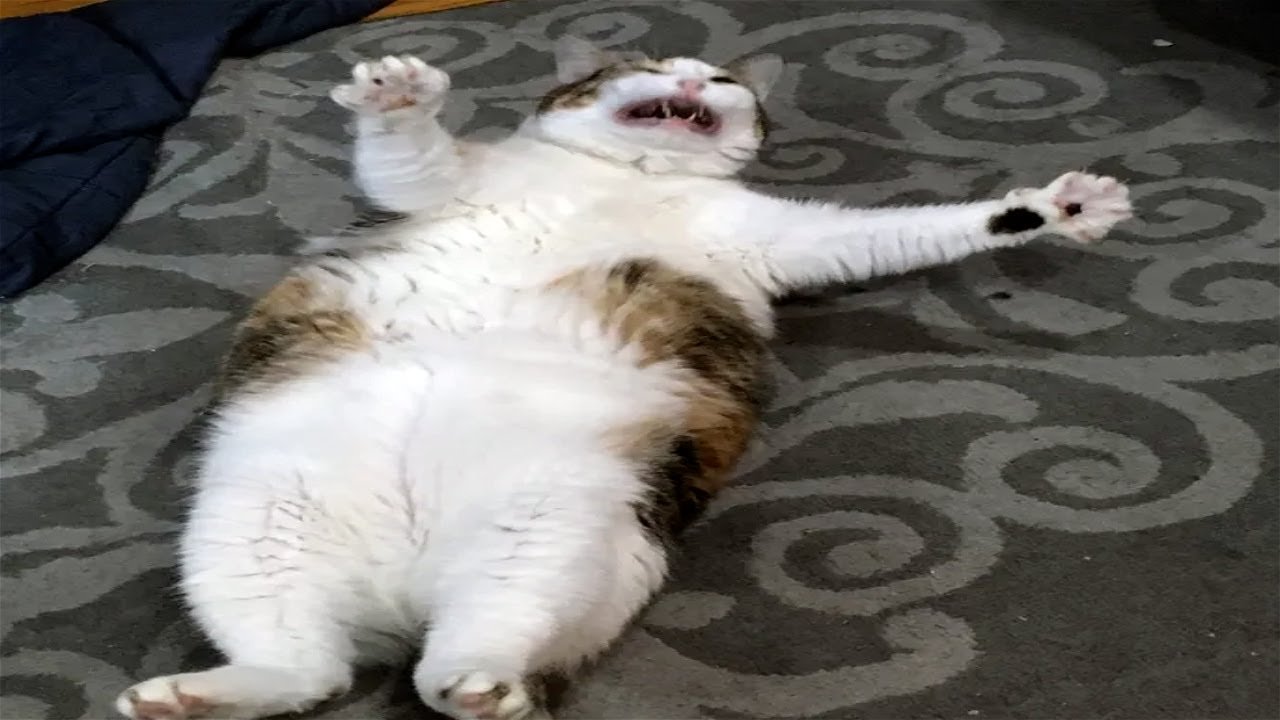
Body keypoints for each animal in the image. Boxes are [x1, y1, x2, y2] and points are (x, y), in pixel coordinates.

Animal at [115, 37, 1132, 720]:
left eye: (725, 83)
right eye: (643, 62)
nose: (688, 81)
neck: (634, 173)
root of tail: (402, 599)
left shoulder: (782, 241)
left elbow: (902, 232)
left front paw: (1056, 209)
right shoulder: (434, 192)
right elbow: (408, 158)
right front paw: (399, 94)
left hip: (547, 528)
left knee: (464, 643)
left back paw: (475, 685)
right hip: (251, 526)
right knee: (307, 666)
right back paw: (193, 695)